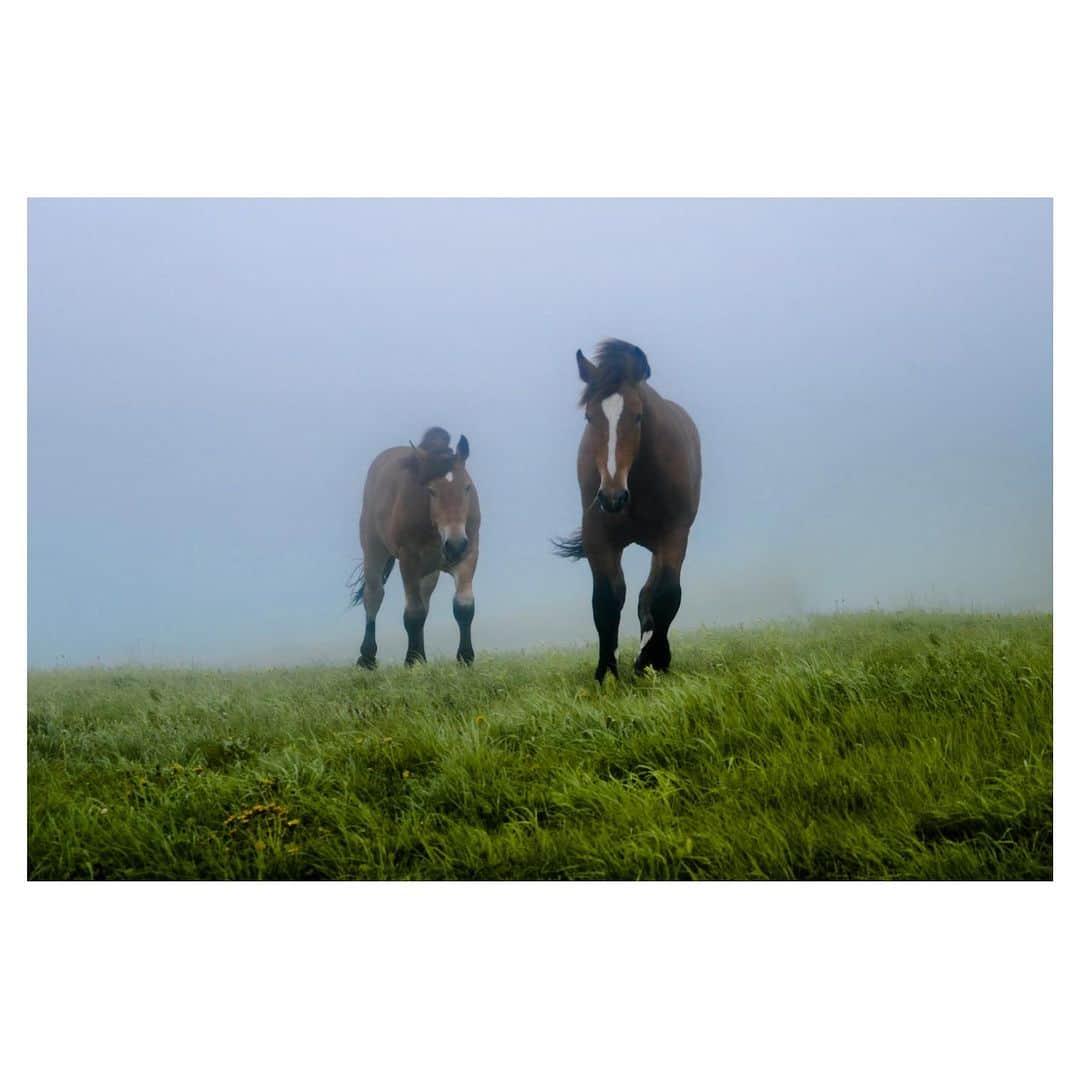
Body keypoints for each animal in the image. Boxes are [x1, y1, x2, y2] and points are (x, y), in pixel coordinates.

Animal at [351, 426, 480, 667]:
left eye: (467, 487)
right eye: (432, 491)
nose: (455, 544)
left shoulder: (469, 554)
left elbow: (464, 606)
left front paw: (465, 657)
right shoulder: (409, 560)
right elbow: (413, 614)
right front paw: (412, 660)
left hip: (429, 572)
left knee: (424, 601)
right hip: (374, 553)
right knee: (374, 596)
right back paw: (367, 657)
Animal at [554, 340, 701, 682]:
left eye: (637, 416)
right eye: (589, 417)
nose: (612, 497)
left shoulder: (674, 534)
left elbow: (667, 595)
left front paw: (653, 660)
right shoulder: (597, 536)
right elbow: (606, 600)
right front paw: (606, 674)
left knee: (650, 594)